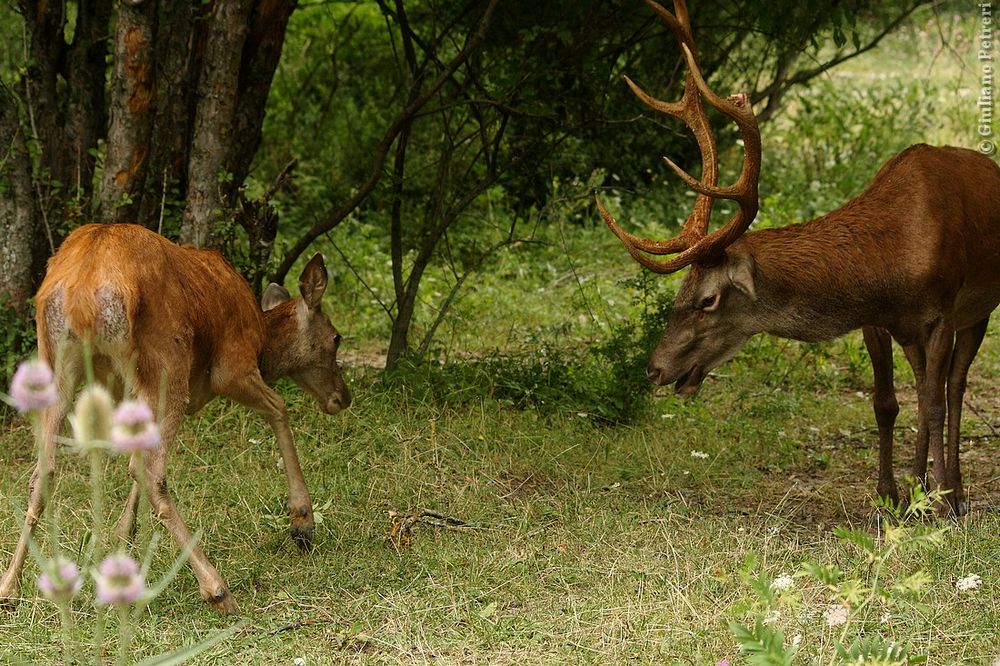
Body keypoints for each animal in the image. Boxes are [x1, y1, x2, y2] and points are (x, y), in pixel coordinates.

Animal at [0, 222, 352, 608]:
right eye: (336, 337)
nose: (342, 397)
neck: (262, 339)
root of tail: (83, 292)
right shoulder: (233, 366)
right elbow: (279, 409)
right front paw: (302, 521)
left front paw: (121, 536)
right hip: (168, 362)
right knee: (154, 472)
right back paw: (217, 588)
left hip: (55, 360)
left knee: (44, 470)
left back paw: (10, 588)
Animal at [596, 0, 1000, 512]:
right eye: (682, 290)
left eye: (708, 299)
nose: (655, 369)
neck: (892, 265)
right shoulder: (875, 320)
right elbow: (885, 403)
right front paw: (890, 495)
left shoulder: (942, 312)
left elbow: (933, 402)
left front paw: (940, 502)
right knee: (928, 381)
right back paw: (922, 484)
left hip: (978, 309)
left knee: (953, 386)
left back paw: (953, 491)